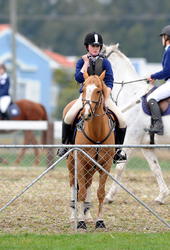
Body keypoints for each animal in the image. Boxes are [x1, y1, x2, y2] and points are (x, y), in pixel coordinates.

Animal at [64, 71, 115, 229]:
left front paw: (100, 221)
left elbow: (100, 192)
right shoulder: (80, 162)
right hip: (72, 165)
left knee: (88, 185)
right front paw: (80, 222)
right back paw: (73, 216)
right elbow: (80, 193)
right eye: (84, 89)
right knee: (74, 186)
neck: (96, 133)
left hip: (90, 168)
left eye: (98, 91)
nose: (86, 114)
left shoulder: (106, 165)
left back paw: (88, 216)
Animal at [102, 44, 170, 204]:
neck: (131, 93)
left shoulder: (130, 139)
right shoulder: (146, 145)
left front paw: (109, 196)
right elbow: (155, 168)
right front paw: (162, 196)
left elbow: (120, 167)